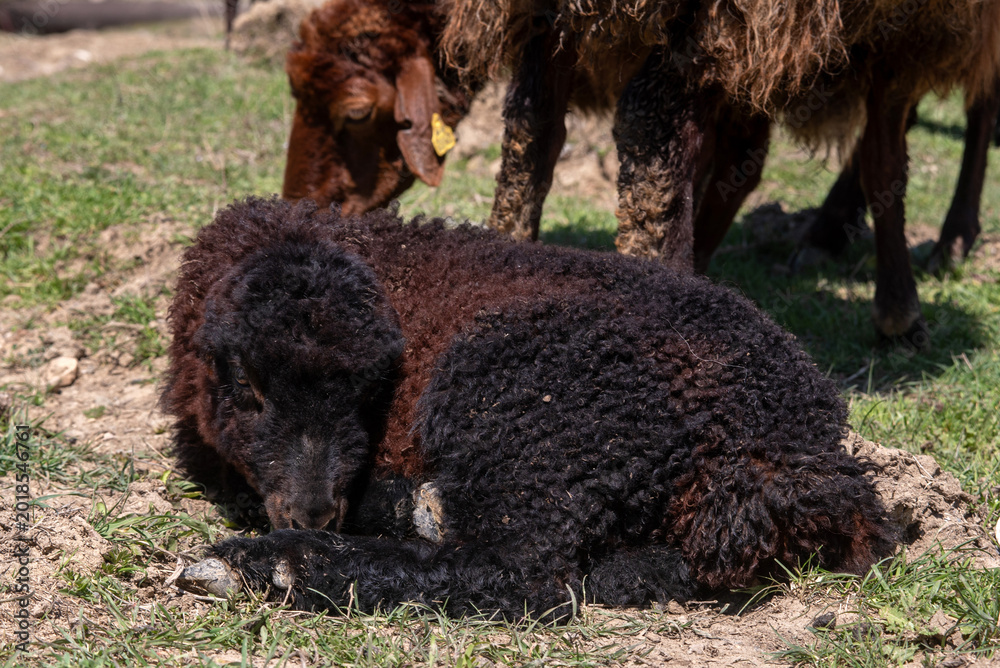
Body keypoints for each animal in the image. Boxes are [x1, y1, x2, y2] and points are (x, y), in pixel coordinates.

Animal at [169, 196, 895, 620]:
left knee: (518, 574)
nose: (315, 510)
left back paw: (265, 566)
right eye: (249, 389)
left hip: (526, 409)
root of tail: (784, 455)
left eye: (371, 394)